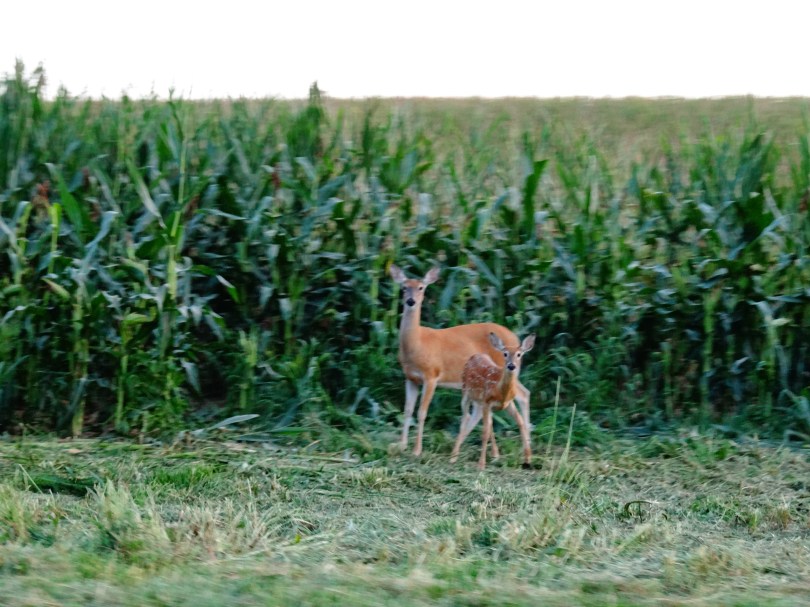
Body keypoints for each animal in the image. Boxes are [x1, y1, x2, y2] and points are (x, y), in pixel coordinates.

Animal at [389, 264, 531, 456]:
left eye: (421, 287)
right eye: (404, 288)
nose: (411, 301)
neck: (417, 343)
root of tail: (515, 338)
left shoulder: (432, 375)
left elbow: (422, 412)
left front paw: (417, 450)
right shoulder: (411, 378)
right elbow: (407, 410)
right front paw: (402, 445)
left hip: (505, 370)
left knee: (521, 395)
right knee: (516, 396)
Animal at [450, 332, 535, 470]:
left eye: (519, 354)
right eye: (505, 354)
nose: (511, 365)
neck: (499, 391)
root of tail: (475, 355)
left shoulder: (507, 404)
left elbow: (520, 422)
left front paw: (528, 458)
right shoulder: (487, 402)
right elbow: (484, 432)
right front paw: (481, 464)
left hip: (479, 403)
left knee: (481, 420)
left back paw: (495, 454)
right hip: (466, 393)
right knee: (465, 418)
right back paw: (453, 456)